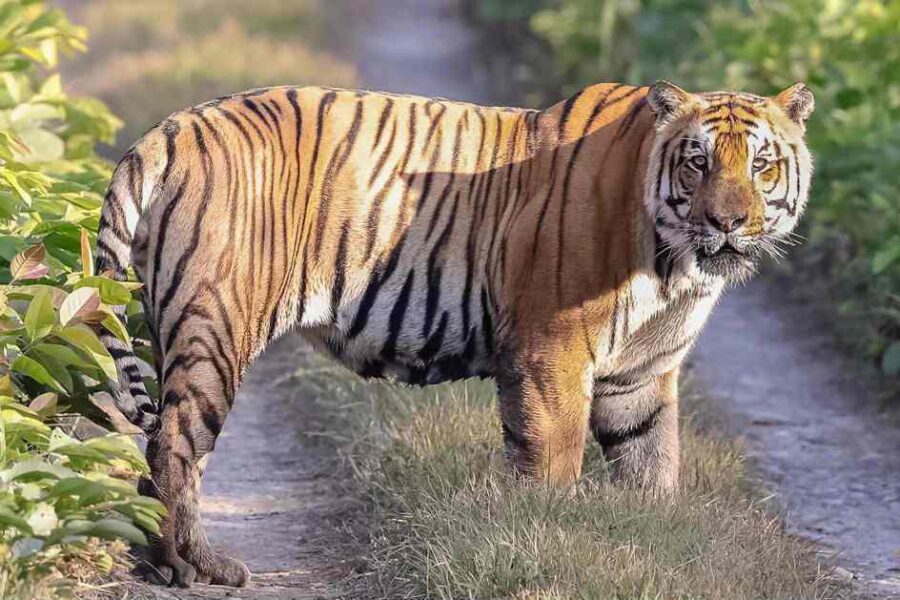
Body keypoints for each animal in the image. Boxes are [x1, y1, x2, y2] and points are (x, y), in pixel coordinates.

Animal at [95, 80, 814, 587]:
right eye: (697, 163)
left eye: (762, 166)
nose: (728, 222)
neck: (675, 267)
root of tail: (171, 128)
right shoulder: (554, 351)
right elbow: (554, 466)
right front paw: (547, 538)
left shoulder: (639, 377)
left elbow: (652, 468)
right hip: (217, 324)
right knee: (174, 444)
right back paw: (187, 566)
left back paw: (162, 561)